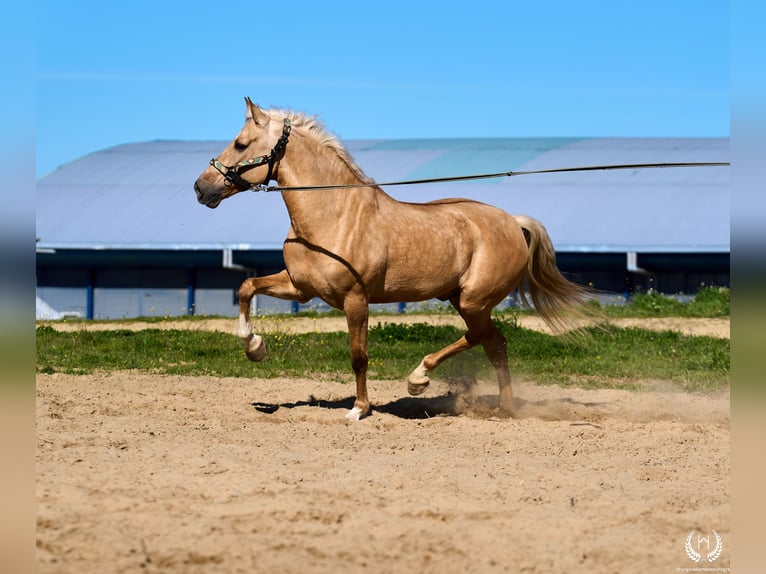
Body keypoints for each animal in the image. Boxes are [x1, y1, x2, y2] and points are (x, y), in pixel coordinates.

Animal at [194, 97, 590, 420]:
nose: (201, 188)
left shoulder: (355, 299)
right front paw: (255, 348)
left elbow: (359, 356)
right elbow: (246, 287)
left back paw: (419, 378)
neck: (332, 215)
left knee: (479, 338)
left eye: (241, 143)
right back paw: (505, 408)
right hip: (463, 300)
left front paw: (359, 409)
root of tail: (512, 222)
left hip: (473, 301)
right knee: (496, 344)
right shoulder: (300, 288)